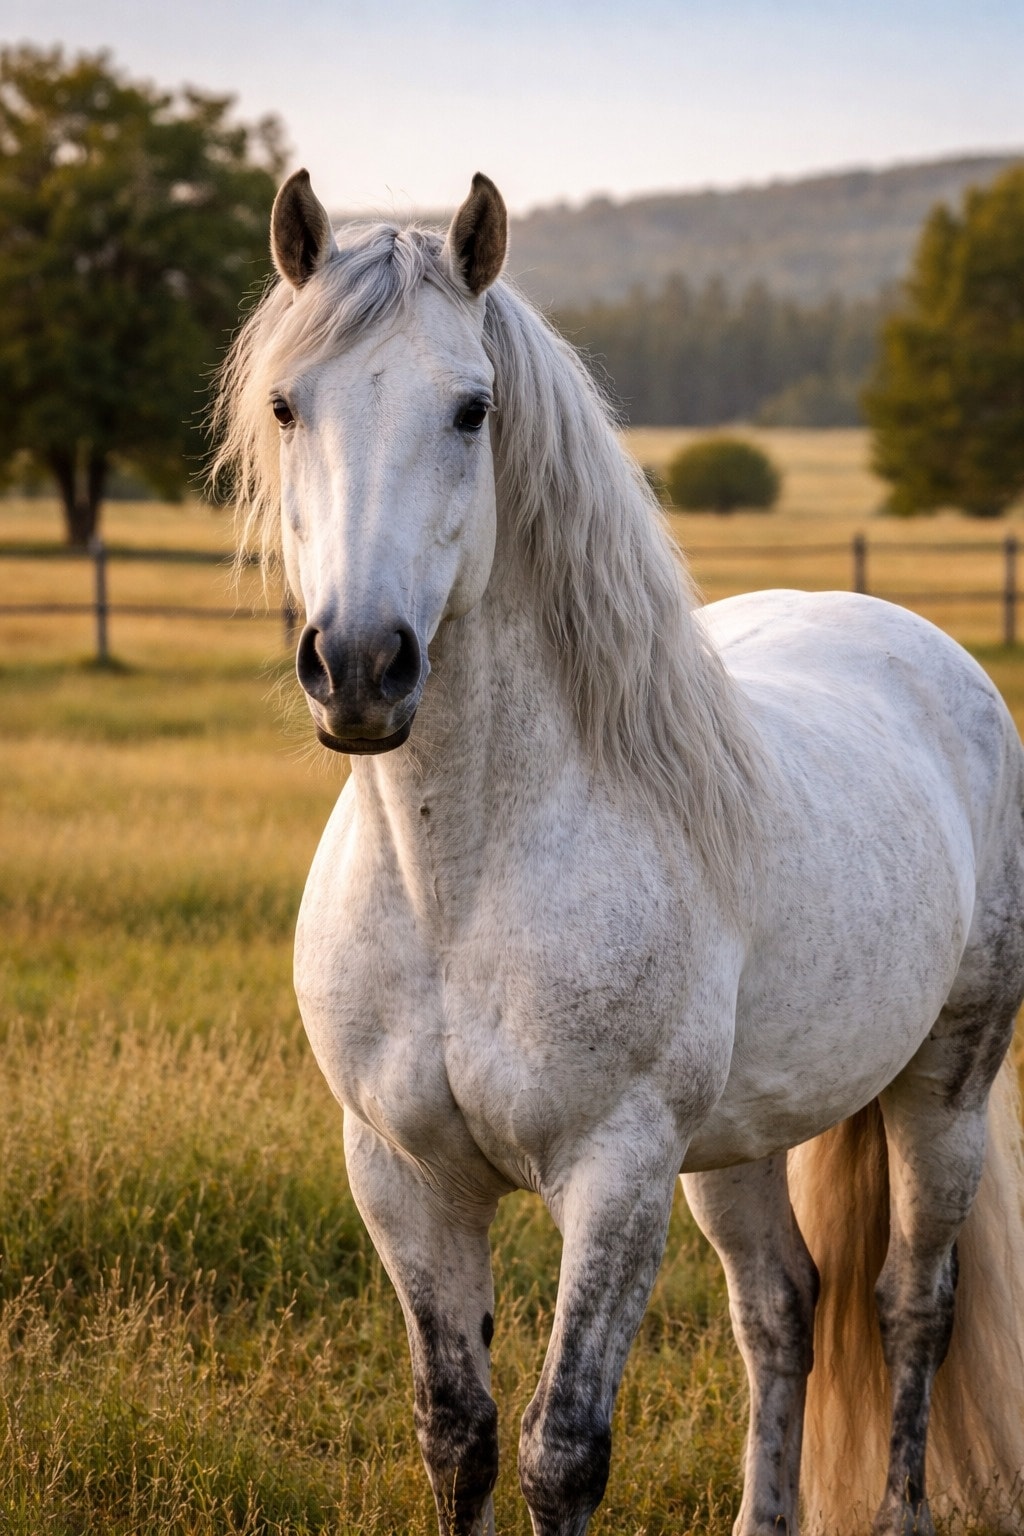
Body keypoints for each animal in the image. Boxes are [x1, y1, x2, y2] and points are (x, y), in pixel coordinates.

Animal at [212, 168, 1024, 1536]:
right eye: (285, 404)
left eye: (471, 408)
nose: (363, 666)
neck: (459, 885)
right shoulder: (401, 1176)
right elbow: (459, 1436)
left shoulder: (616, 1172)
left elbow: (562, 1450)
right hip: (743, 1139)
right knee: (782, 1309)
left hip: (941, 1089)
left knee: (910, 1305)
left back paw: (902, 1509)